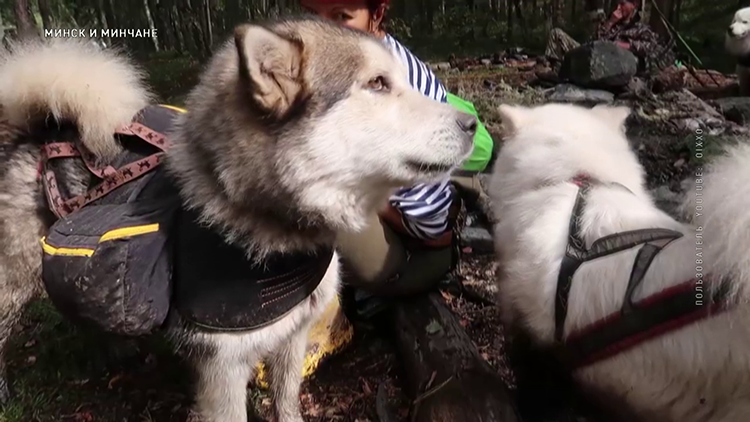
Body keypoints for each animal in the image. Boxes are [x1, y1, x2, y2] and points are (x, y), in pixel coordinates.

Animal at [0, 18, 476, 422]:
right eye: (377, 83)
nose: (473, 122)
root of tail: (44, 130)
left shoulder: (292, 339)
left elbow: (286, 403)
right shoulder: (222, 369)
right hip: (13, 285)